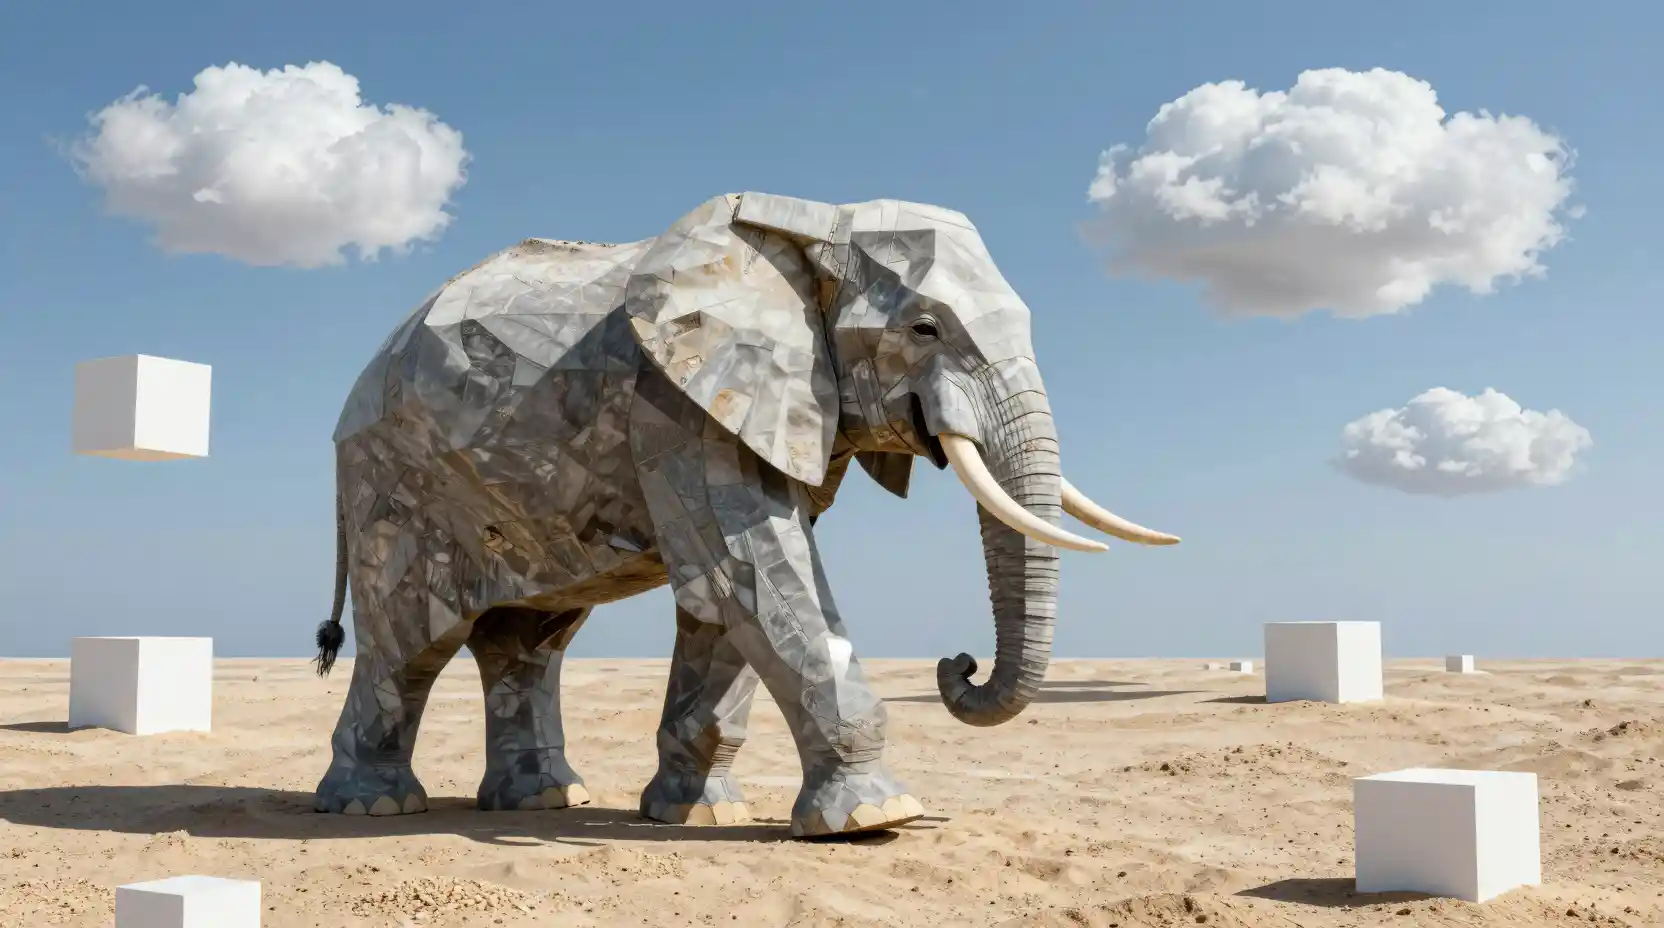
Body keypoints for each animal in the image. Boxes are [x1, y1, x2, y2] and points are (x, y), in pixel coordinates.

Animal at [310, 191, 1180, 838]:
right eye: (924, 328)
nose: (956, 662)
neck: (813, 223)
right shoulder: (675, 405)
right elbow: (749, 566)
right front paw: (878, 818)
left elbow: (725, 601)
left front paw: (693, 815)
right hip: (395, 488)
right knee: (408, 644)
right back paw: (374, 805)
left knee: (528, 643)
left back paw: (543, 800)